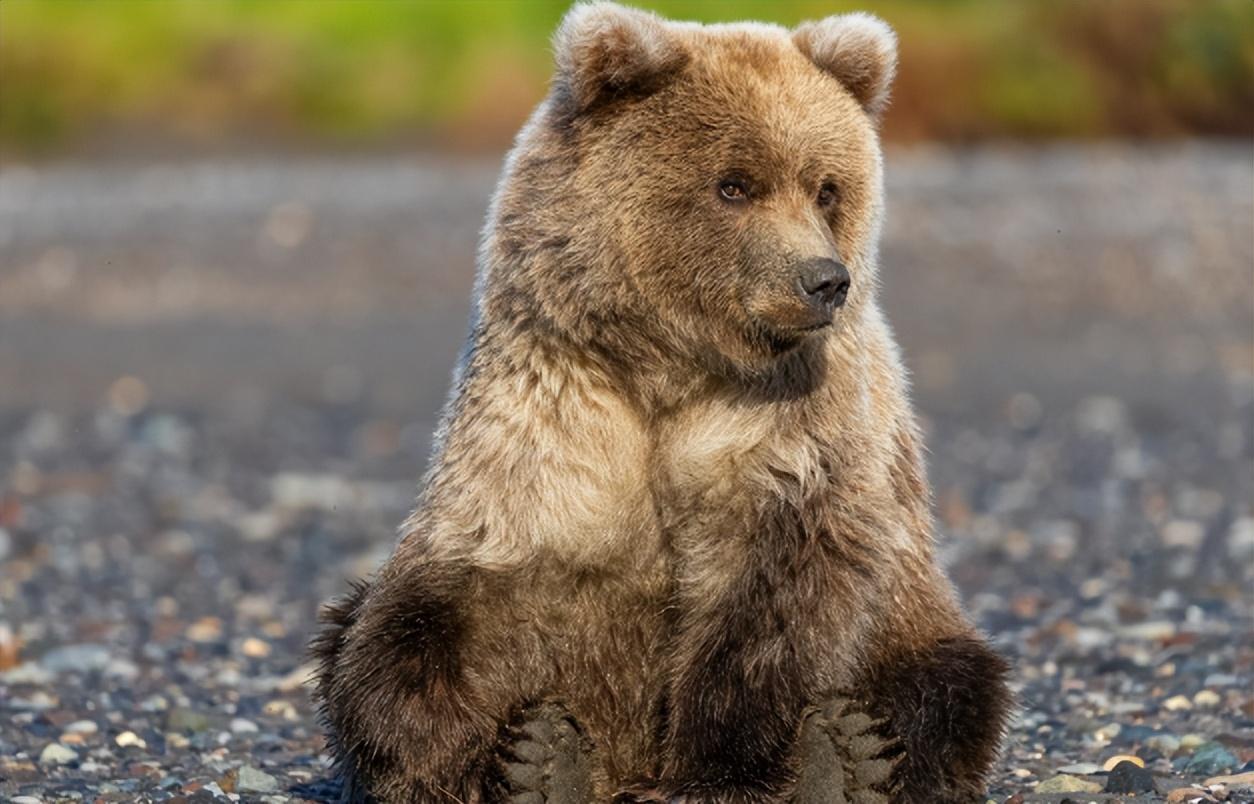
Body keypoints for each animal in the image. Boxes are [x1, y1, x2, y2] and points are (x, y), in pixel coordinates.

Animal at [313, 3, 1008, 797]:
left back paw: (846, 755)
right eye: (734, 185)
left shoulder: (792, 436)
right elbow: (429, 619)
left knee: (948, 684)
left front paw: (725, 771)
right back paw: (550, 762)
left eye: (826, 187)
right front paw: (472, 757)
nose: (824, 279)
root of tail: (626, 763)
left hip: (914, 615)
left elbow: (778, 601)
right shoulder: (553, 416)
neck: (670, 367)